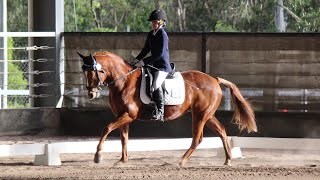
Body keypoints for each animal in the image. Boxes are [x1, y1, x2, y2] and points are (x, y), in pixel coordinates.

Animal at [76, 50, 256, 166]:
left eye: (95, 72)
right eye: (84, 72)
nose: (91, 94)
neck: (123, 81)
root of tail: (214, 79)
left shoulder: (128, 114)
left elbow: (106, 128)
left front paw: (98, 156)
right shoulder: (123, 115)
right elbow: (123, 138)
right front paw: (122, 161)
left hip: (200, 116)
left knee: (197, 138)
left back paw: (182, 161)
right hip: (207, 115)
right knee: (222, 131)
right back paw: (228, 159)